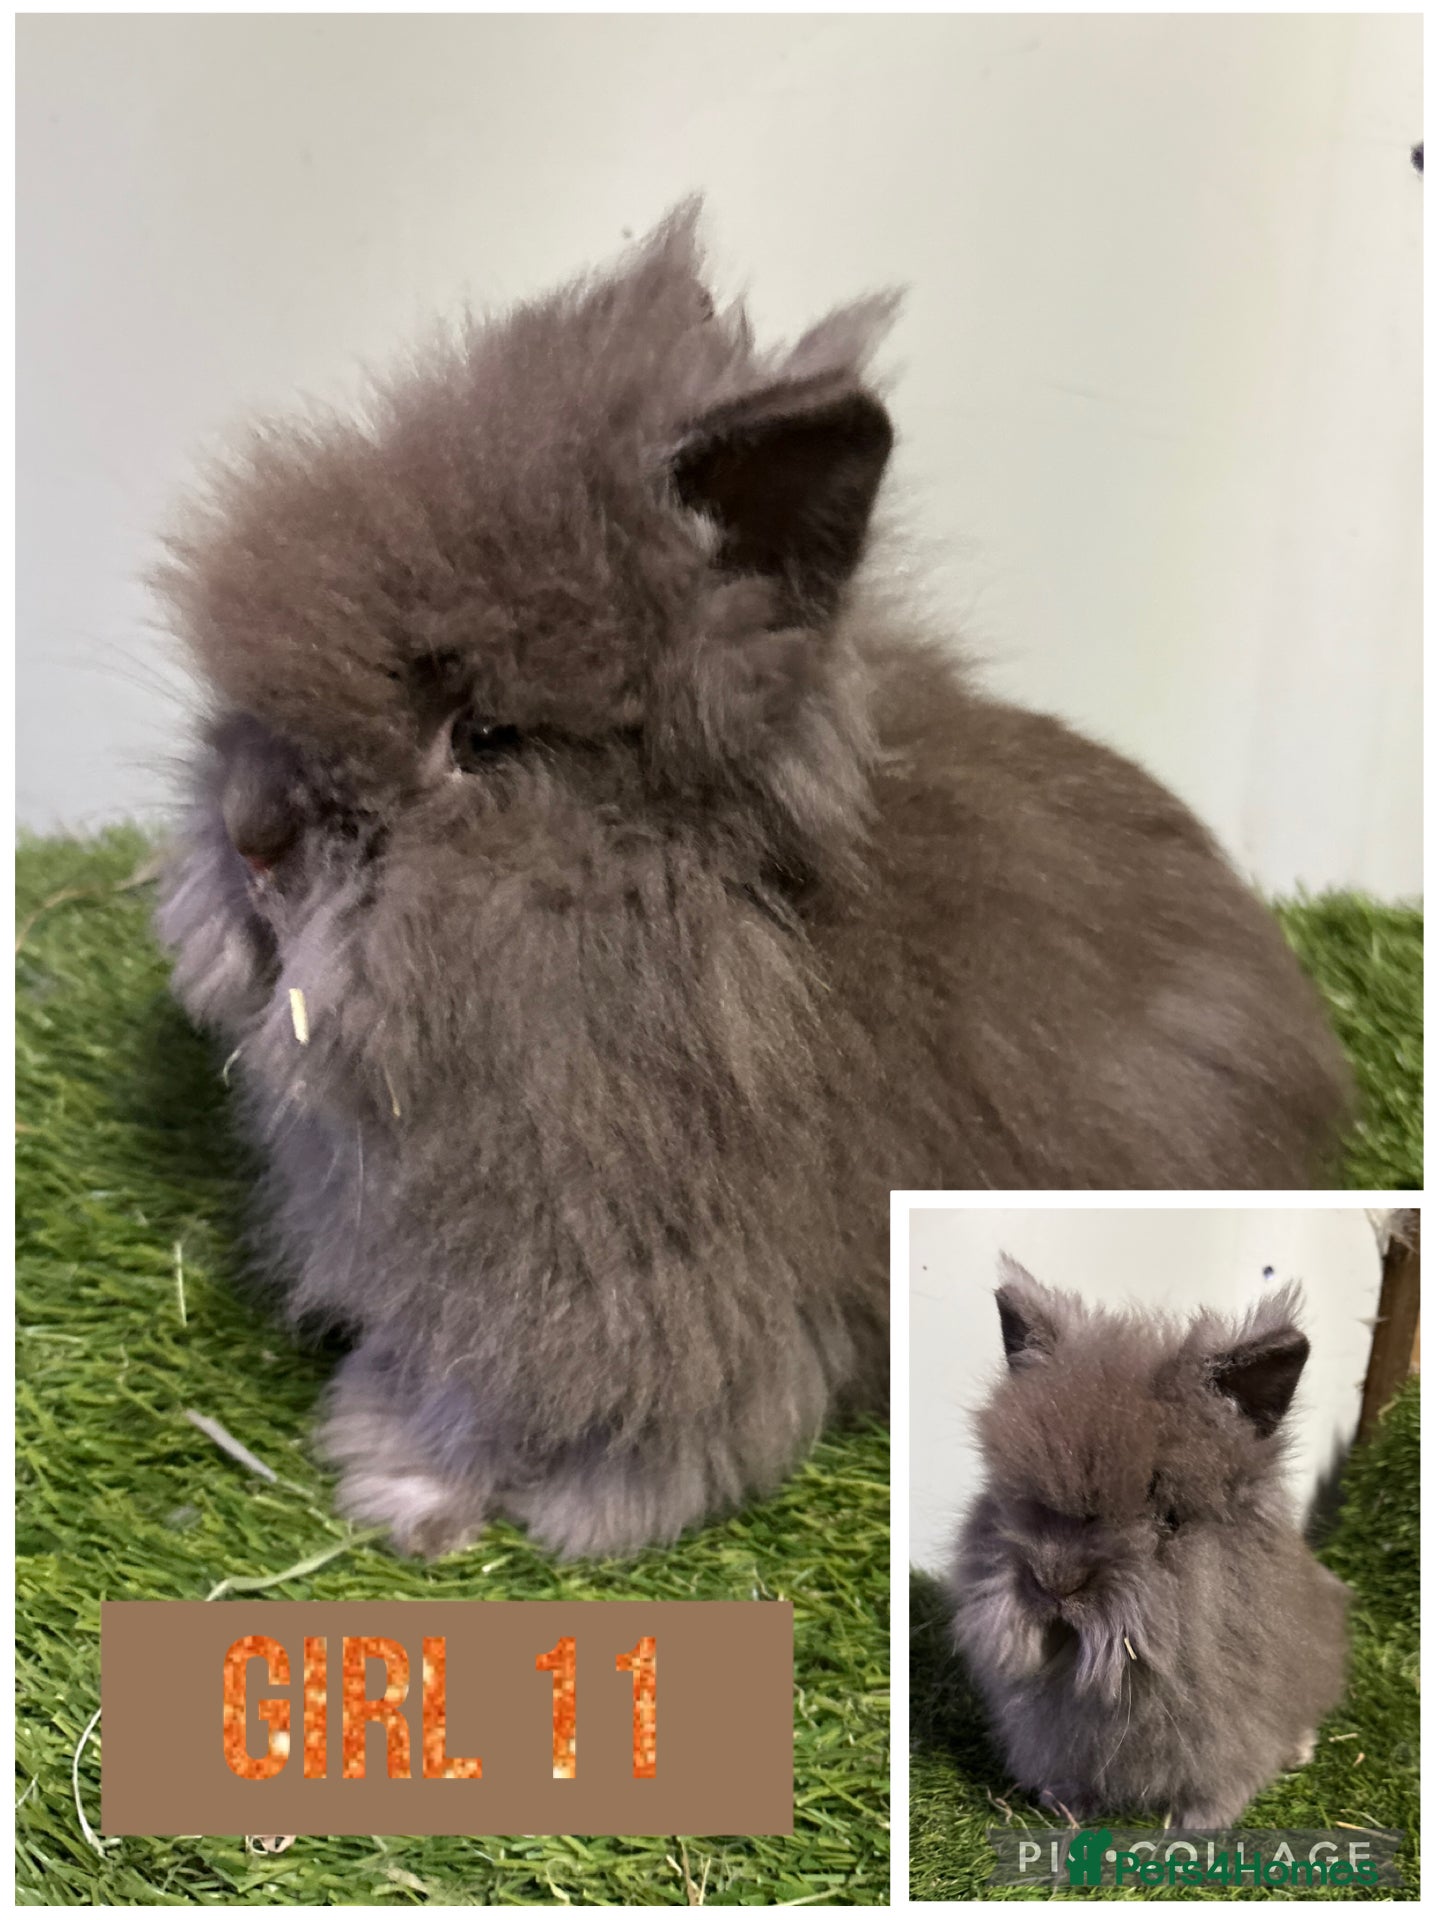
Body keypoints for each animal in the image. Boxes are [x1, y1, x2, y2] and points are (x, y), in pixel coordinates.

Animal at [155, 200, 1350, 1559]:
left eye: (485, 738)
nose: (251, 837)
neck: (688, 943)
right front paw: (386, 1458)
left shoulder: (643, 1293)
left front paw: (497, 1504)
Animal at [950, 1259, 1351, 1828]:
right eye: (1023, 1499)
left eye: (1170, 1519)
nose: (1055, 1582)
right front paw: (1065, 1807)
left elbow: (1219, 1784)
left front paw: (1197, 1826)